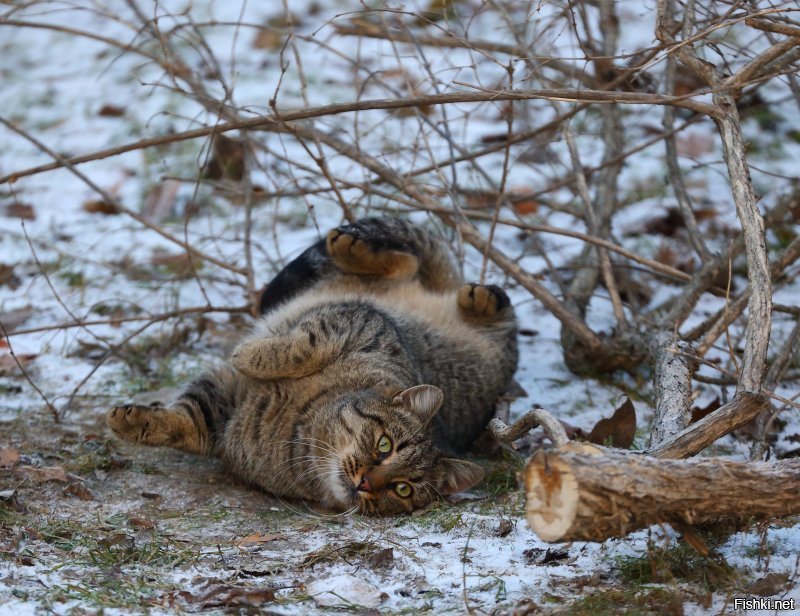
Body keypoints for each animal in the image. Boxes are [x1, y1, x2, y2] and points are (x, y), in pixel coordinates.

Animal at [106, 218, 520, 516]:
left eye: (402, 488)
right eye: (385, 445)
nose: (366, 482)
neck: (299, 425)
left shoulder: (224, 412)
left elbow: (191, 425)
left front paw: (139, 422)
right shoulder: (363, 322)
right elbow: (304, 345)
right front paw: (250, 354)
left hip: (498, 354)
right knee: (411, 265)